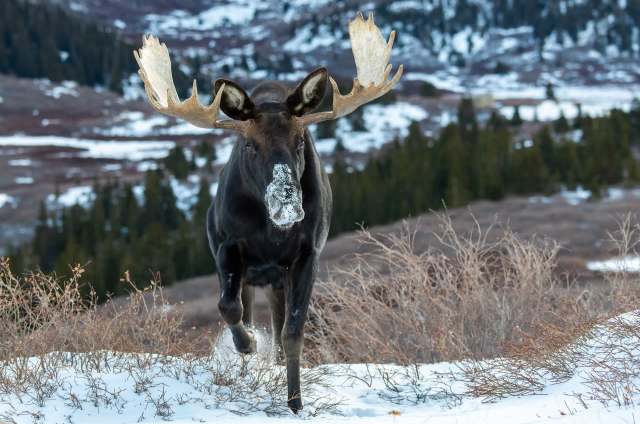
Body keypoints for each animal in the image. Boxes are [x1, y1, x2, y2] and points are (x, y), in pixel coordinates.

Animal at [134, 13, 402, 413]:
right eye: (249, 144)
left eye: (301, 140)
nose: (287, 203)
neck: (270, 233)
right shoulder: (228, 247)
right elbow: (228, 307)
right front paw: (247, 345)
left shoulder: (307, 255)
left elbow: (292, 332)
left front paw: (295, 402)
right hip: (248, 272)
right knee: (241, 308)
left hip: (277, 280)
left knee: (277, 324)